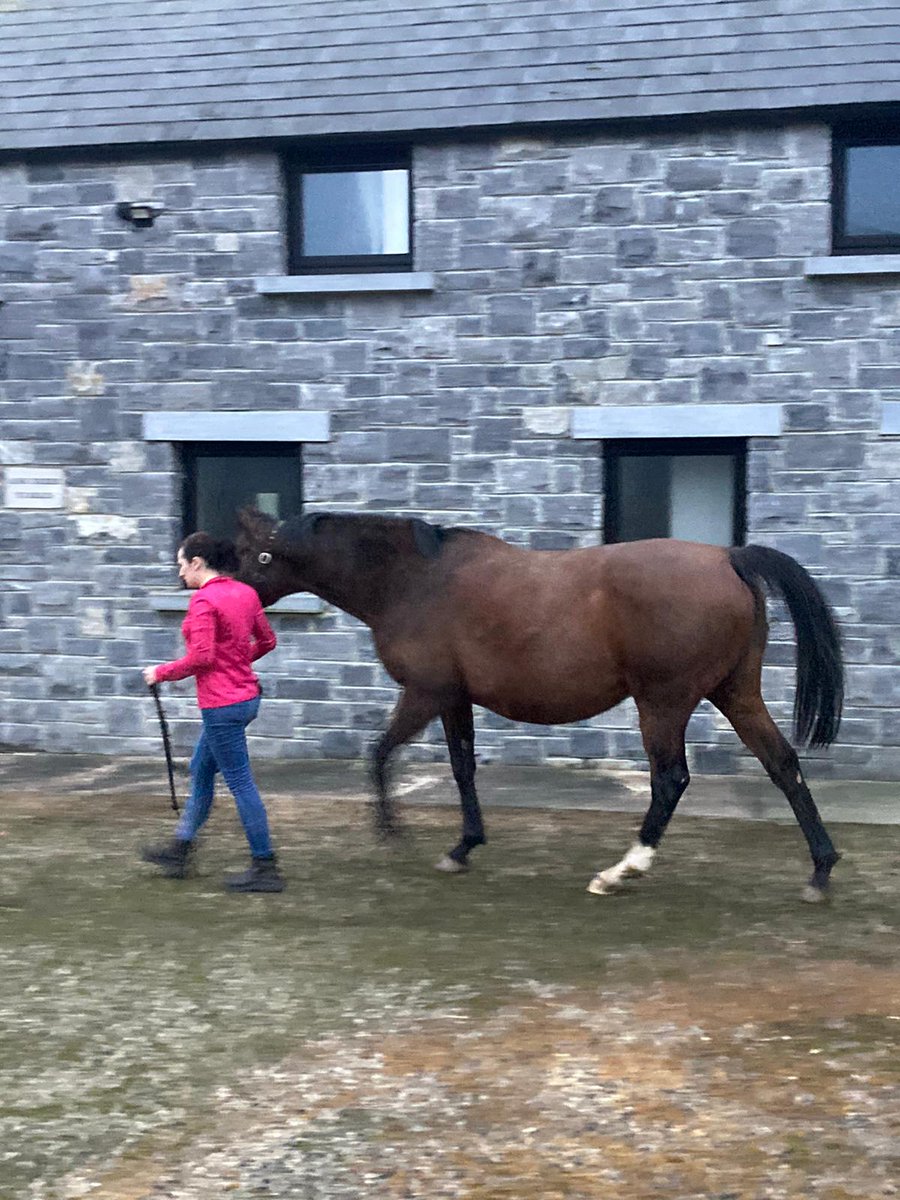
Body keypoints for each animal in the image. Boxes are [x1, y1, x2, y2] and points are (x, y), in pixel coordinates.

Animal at [235, 508, 844, 903]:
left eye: (256, 555)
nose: (229, 593)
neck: (414, 579)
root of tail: (727, 557)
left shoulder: (426, 692)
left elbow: (381, 753)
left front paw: (391, 831)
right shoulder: (455, 699)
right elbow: (461, 767)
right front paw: (464, 846)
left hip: (663, 702)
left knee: (671, 780)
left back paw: (621, 870)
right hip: (735, 694)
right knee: (782, 763)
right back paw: (820, 869)